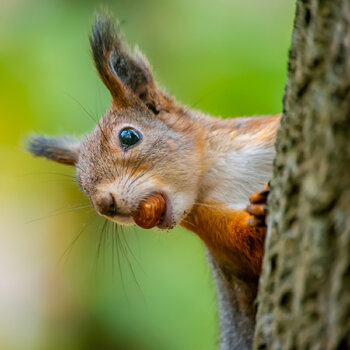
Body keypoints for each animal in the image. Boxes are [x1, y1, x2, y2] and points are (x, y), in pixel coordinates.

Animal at [26, 13, 280, 350]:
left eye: (128, 136)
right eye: (80, 184)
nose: (104, 205)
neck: (222, 173)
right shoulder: (219, 236)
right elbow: (251, 252)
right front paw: (262, 210)